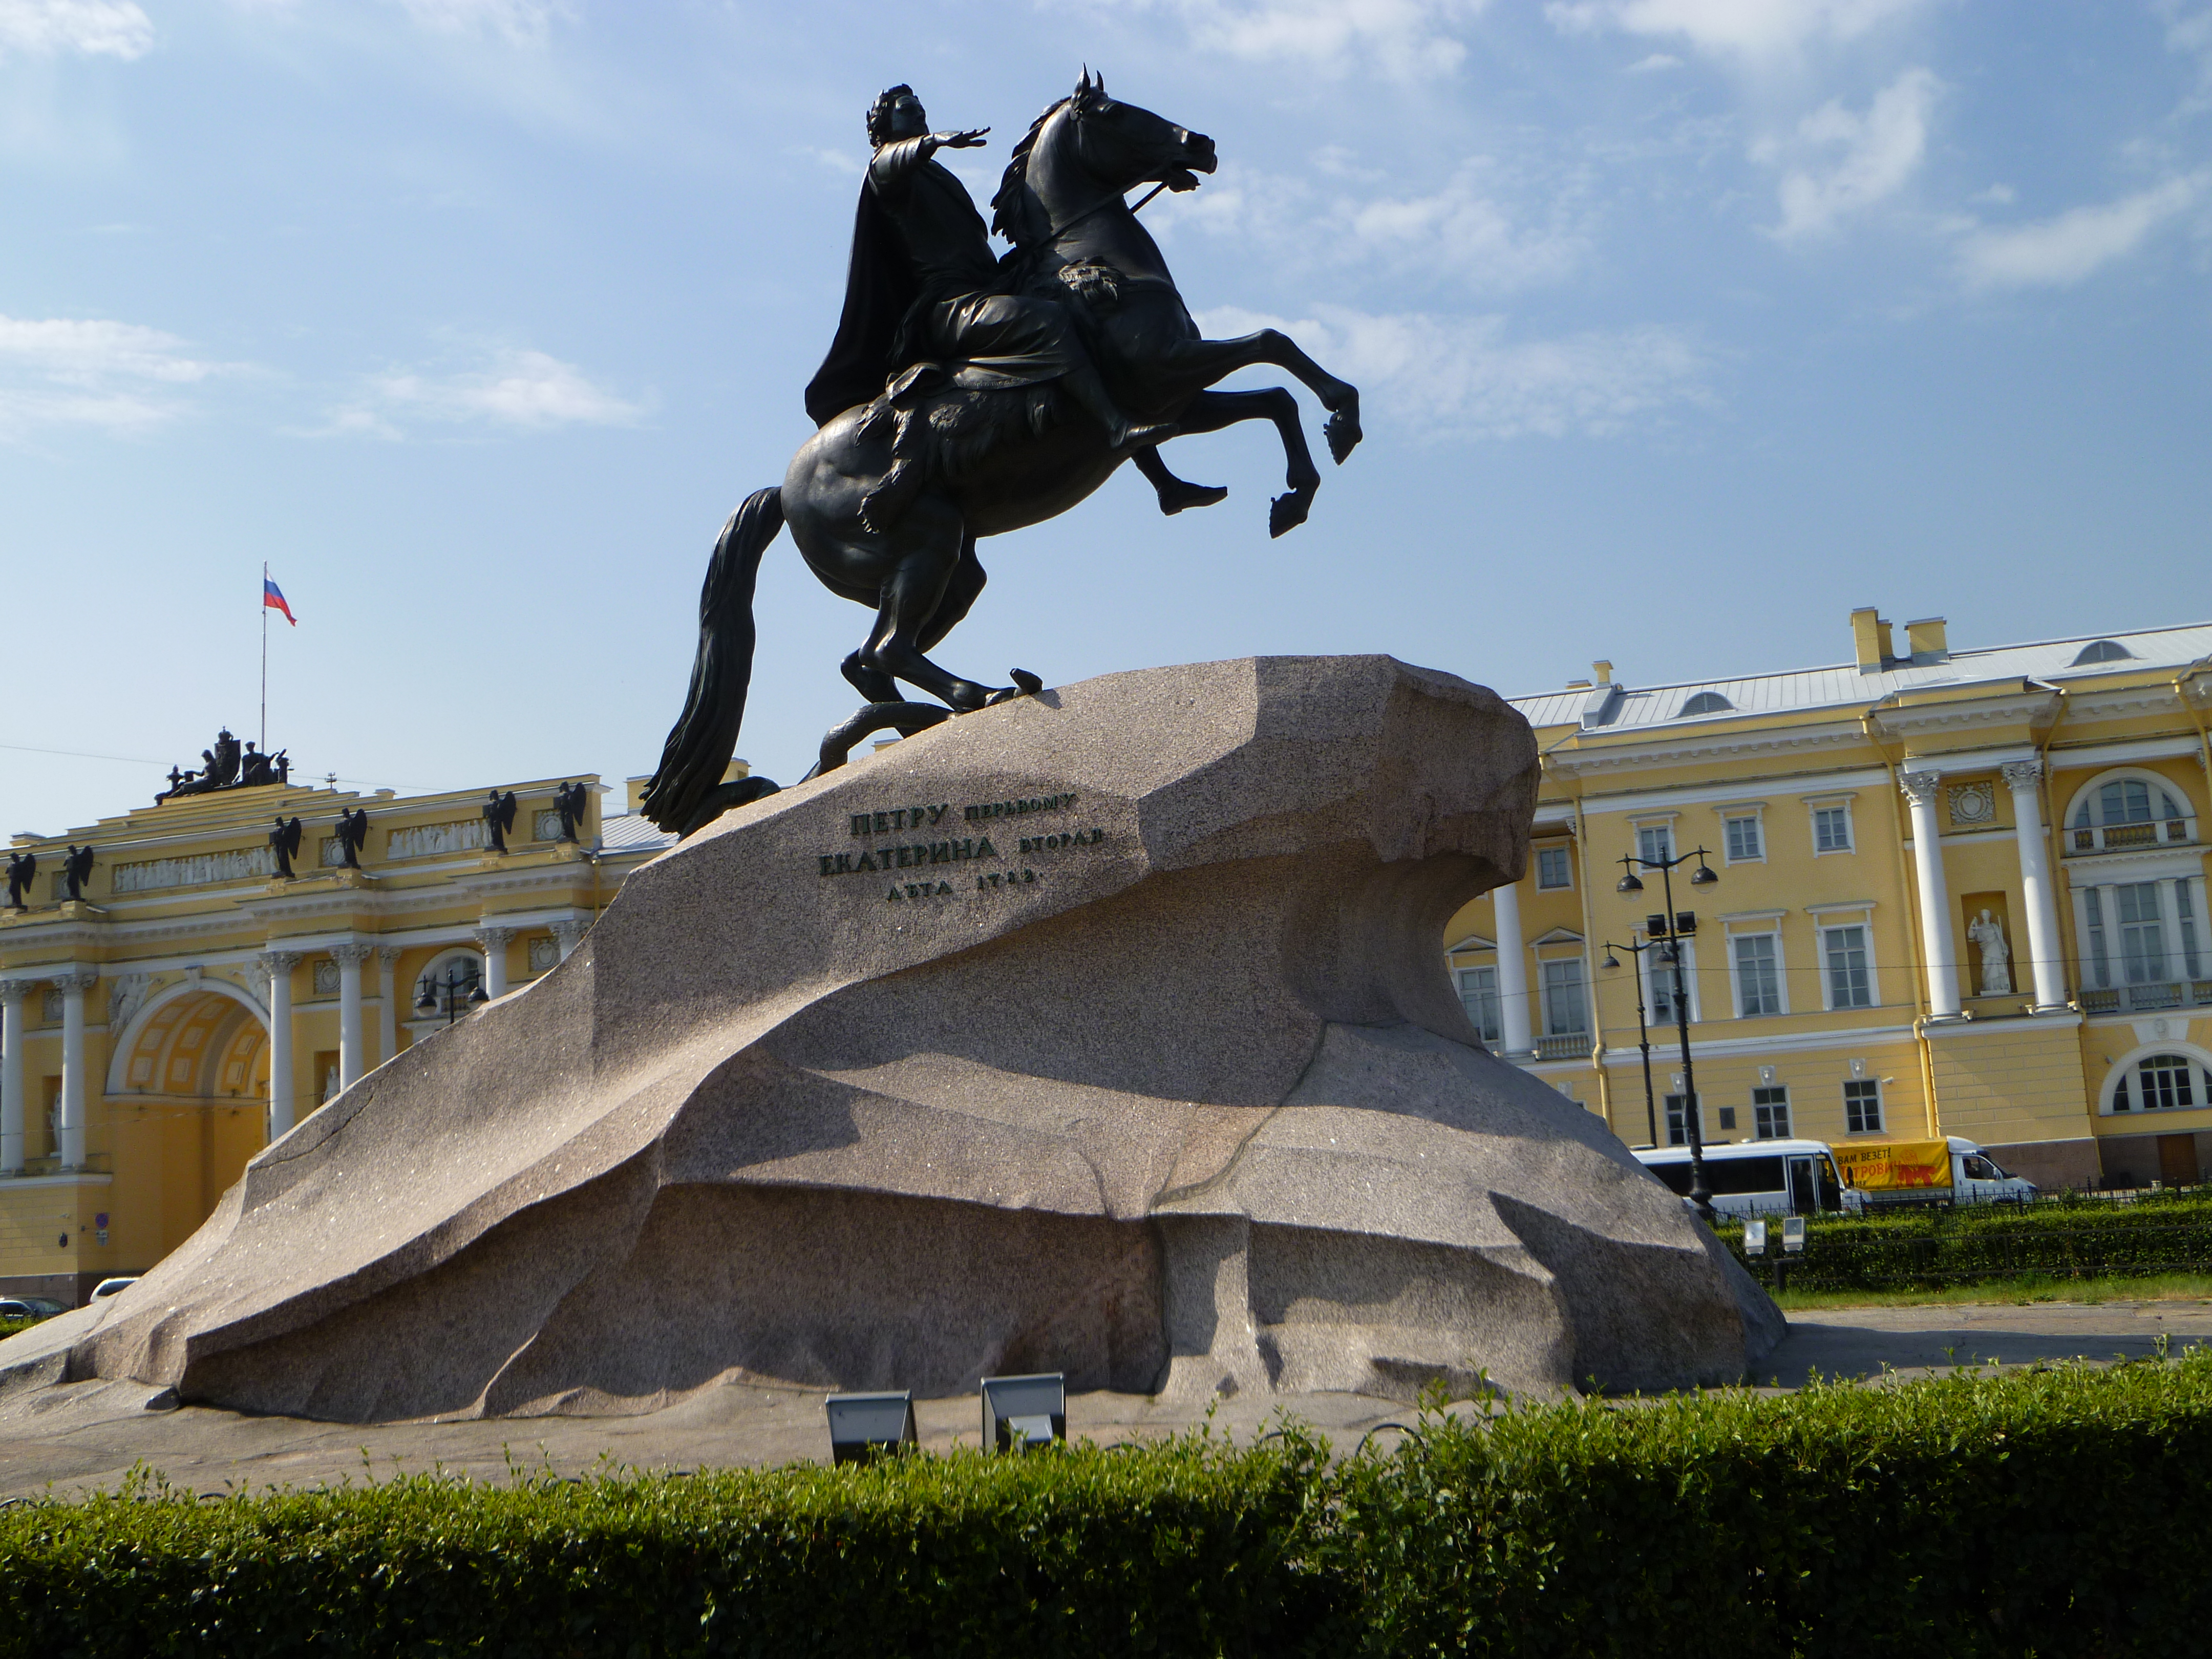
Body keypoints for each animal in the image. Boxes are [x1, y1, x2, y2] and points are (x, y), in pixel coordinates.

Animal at [641, 71, 1363, 836]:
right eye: (1117, 113)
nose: (1202, 143)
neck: (1092, 265)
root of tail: (782, 489)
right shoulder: (1170, 371)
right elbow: (1273, 345)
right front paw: (1341, 421)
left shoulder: (1181, 400)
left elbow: (1275, 396)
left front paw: (1296, 492)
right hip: (930, 540)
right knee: (886, 649)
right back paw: (978, 695)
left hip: (950, 571)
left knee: (867, 660)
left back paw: (936, 712)